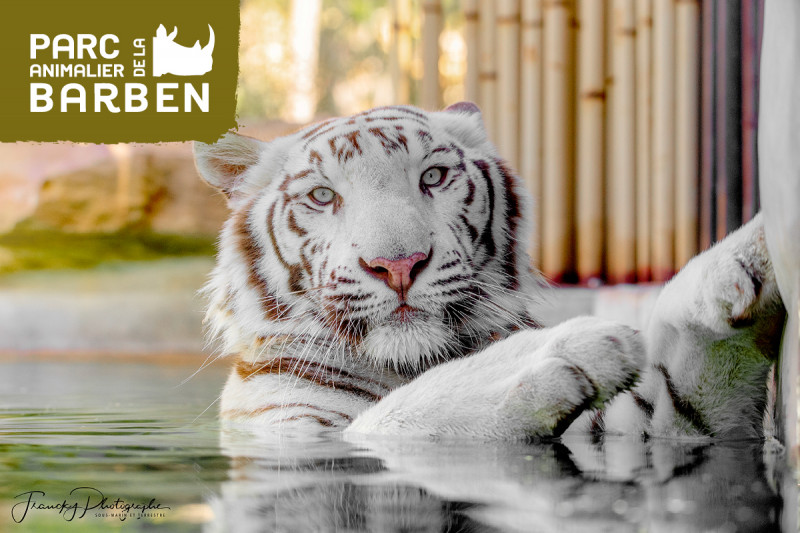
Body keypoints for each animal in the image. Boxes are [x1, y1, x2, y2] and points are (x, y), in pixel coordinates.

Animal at [193, 102, 786, 441]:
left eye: (433, 177)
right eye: (321, 195)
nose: (398, 265)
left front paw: (755, 247)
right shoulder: (294, 427)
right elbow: (397, 415)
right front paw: (563, 350)